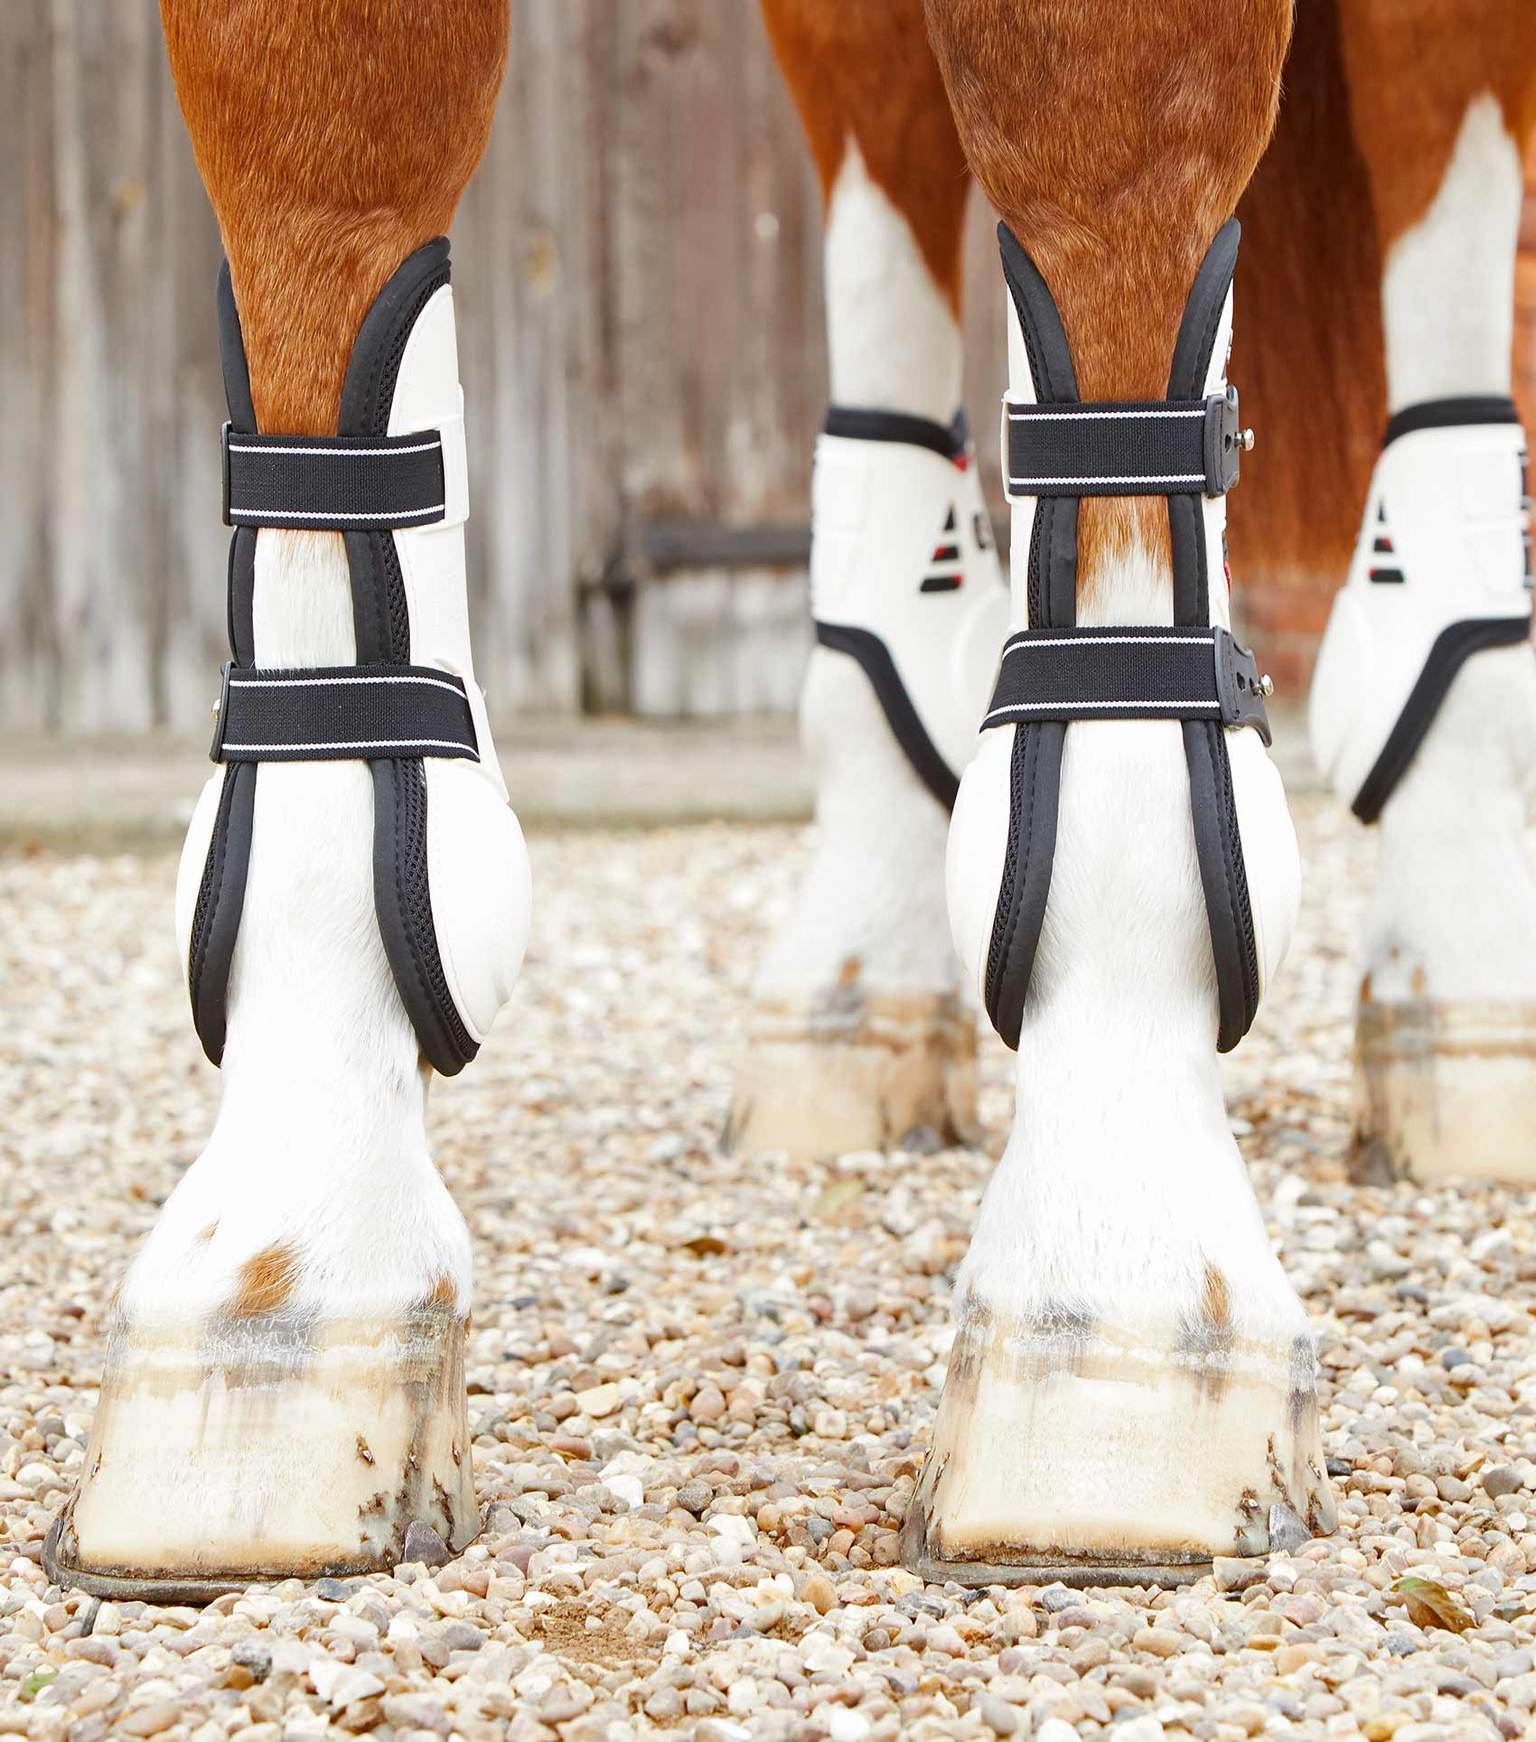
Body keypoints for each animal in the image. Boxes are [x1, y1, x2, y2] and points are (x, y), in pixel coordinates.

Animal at [43, 0, 1536, 1597]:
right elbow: (318, 210)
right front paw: (274, 1284)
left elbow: (1105, 175)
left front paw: (1112, 1289)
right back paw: (854, 985)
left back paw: (1464, 988)